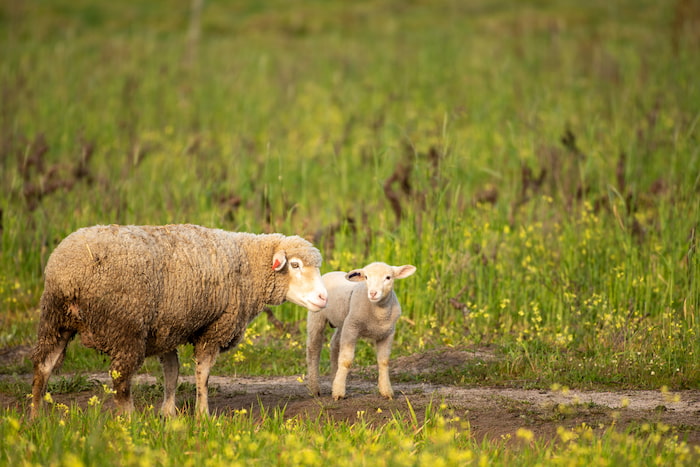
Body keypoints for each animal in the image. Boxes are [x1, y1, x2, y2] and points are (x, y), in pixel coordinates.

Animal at [31, 224, 328, 417]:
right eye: (296, 265)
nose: (323, 297)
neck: (248, 264)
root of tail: (70, 272)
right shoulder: (214, 328)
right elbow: (203, 374)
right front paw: (202, 415)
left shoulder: (167, 329)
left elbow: (172, 372)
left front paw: (169, 413)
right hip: (126, 326)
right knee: (120, 378)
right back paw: (129, 420)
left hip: (54, 318)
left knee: (43, 366)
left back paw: (36, 418)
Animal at [306, 262, 416, 400]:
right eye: (366, 277)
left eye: (388, 277)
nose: (373, 293)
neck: (378, 314)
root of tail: (330, 272)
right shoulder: (352, 328)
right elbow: (346, 361)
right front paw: (339, 393)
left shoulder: (387, 333)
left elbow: (384, 362)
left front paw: (387, 391)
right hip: (317, 316)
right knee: (314, 348)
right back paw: (314, 388)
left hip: (343, 322)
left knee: (334, 345)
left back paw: (334, 380)